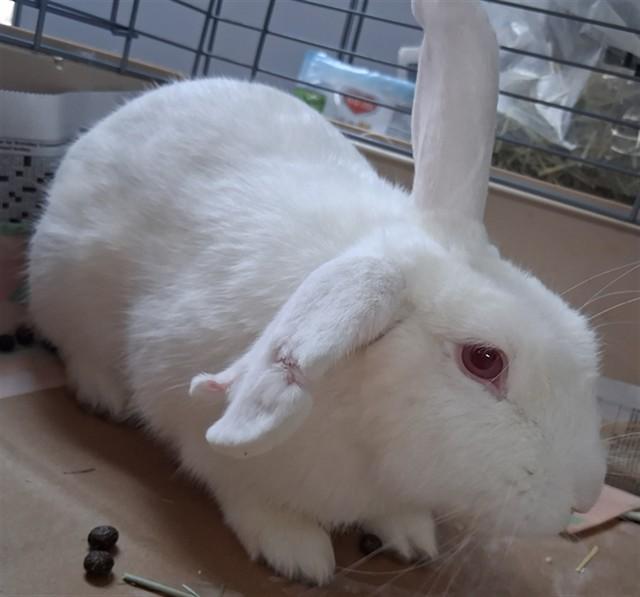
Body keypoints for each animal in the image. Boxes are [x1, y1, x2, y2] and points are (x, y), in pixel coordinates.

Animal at [27, 0, 606, 586]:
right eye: (484, 360)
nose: (584, 496)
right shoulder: (190, 417)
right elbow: (236, 483)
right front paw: (298, 552)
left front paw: (411, 536)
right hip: (58, 278)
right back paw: (104, 394)